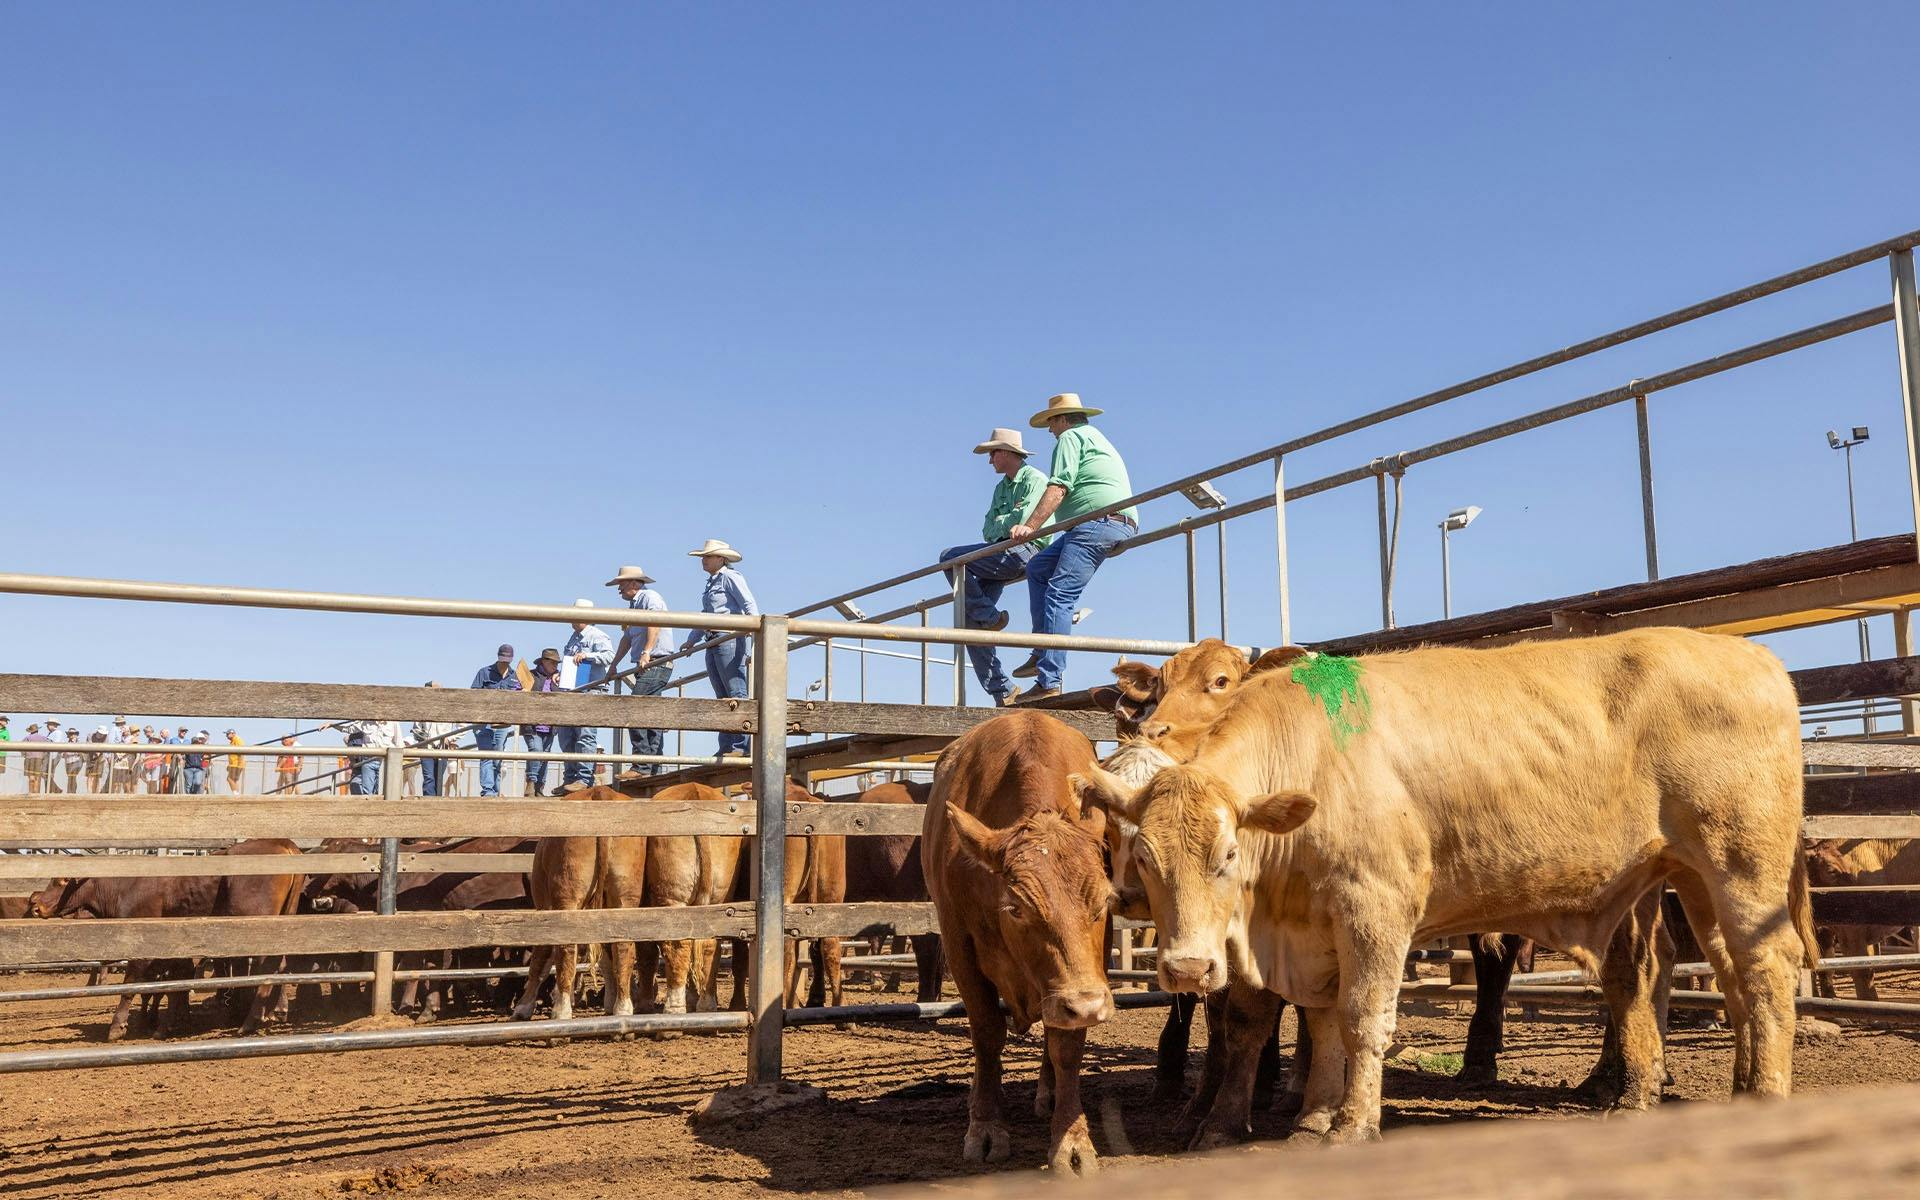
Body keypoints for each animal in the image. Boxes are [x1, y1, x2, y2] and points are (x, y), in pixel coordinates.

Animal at [923, 710, 1114, 1176]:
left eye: (1104, 900)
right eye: (1016, 907)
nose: (1086, 1004)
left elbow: (1067, 1044)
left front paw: (1071, 1140)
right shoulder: (958, 945)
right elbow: (987, 1032)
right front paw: (986, 1127)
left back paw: (1049, 1092)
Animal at [1074, 628, 1818, 1144]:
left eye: (1229, 853)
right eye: (1144, 857)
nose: (1186, 968)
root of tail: (1754, 657)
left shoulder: (1375, 909)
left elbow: (1361, 1019)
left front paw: (1349, 1126)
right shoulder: (1312, 926)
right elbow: (1312, 1020)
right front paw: (1305, 1119)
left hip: (1741, 864)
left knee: (1767, 966)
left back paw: (1763, 1096)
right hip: (1692, 877)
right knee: (1717, 975)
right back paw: (1714, 1093)